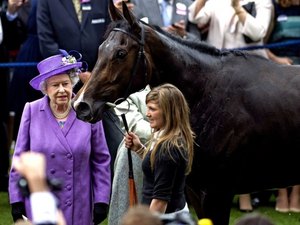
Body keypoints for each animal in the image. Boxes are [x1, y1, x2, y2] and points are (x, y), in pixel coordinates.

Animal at [72, 0, 300, 224]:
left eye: (121, 53)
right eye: (101, 49)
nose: (81, 105)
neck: (210, 93)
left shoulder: (218, 193)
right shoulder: (195, 191)